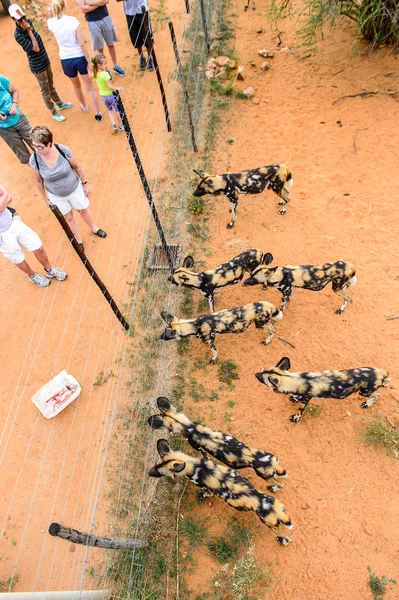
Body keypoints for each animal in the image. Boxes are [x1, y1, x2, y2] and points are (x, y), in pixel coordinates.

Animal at [148, 396, 286, 490]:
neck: (188, 427)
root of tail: (271, 462)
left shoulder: (200, 450)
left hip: (265, 477)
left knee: (278, 485)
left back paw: (274, 488)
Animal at [150, 438, 294, 548]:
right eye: (155, 465)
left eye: (160, 472)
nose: (149, 473)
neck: (194, 466)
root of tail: (277, 511)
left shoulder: (204, 487)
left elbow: (206, 492)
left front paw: (202, 496)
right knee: (278, 483)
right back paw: (274, 488)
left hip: (269, 524)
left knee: (286, 537)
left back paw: (283, 541)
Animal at [256, 358, 390, 424]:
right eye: (262, 371)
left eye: (262, 379)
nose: (255, 374)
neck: (296, 380)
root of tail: (383, 373)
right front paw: (294, 398)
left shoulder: (306, 400)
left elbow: (300, 411)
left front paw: (296, 418)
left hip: (364, 392)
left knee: (377, 394)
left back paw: (367, 404)